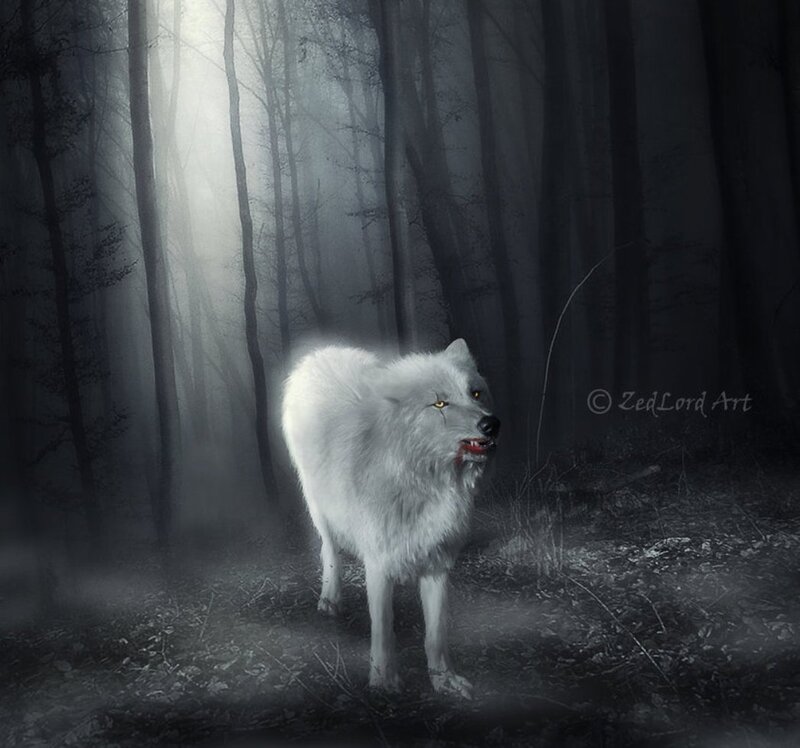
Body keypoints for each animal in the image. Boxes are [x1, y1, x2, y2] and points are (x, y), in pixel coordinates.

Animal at [282, 339, 500, 698]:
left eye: (476, 393)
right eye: (440, 403)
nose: (491, 424)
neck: (421, 482)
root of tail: (320, 352)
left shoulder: (438, 562)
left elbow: (436, 633)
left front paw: (444, 680)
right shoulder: (379, 562)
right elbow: (383, 628)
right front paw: (384, 681)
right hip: (316, 501)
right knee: (328, 549)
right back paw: (331, 599)